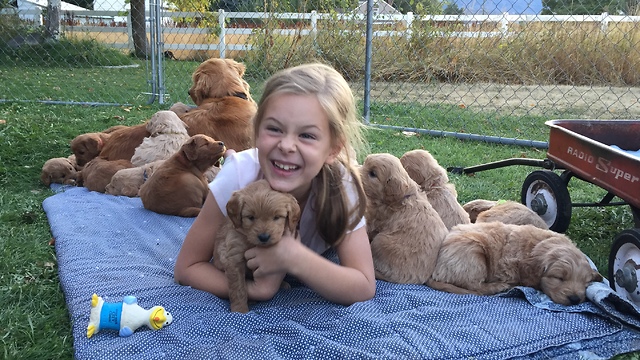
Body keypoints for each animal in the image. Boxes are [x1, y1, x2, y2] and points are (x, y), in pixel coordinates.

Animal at [210, 180, 300, 312]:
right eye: (251, 217)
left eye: (277, 217)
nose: (264, 237)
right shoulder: (233, 258)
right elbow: (238, 288)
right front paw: (240, 310)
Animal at [428, 221, 604, 306]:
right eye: (559, 278)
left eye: (586, 283)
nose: (575, 299)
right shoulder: (508, 266)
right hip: (473, 253)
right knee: (475, 287)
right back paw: (499, 287)